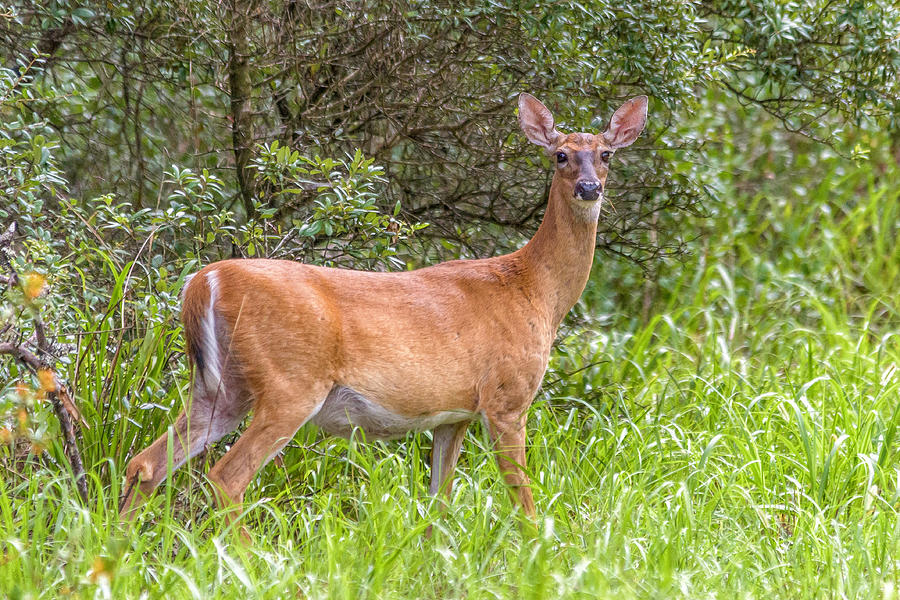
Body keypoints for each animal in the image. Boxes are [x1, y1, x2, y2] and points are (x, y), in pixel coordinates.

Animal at [119, 92, 648, 528]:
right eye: (560, 155)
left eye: (606, 154)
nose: (589, 187)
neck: (534, 290)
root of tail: (204, 282)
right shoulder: (506, 397)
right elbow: (524, 501)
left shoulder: (453, 413)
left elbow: (439, 502)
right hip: (290, 382)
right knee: (226, 480)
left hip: (221, 388)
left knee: (146, 463)